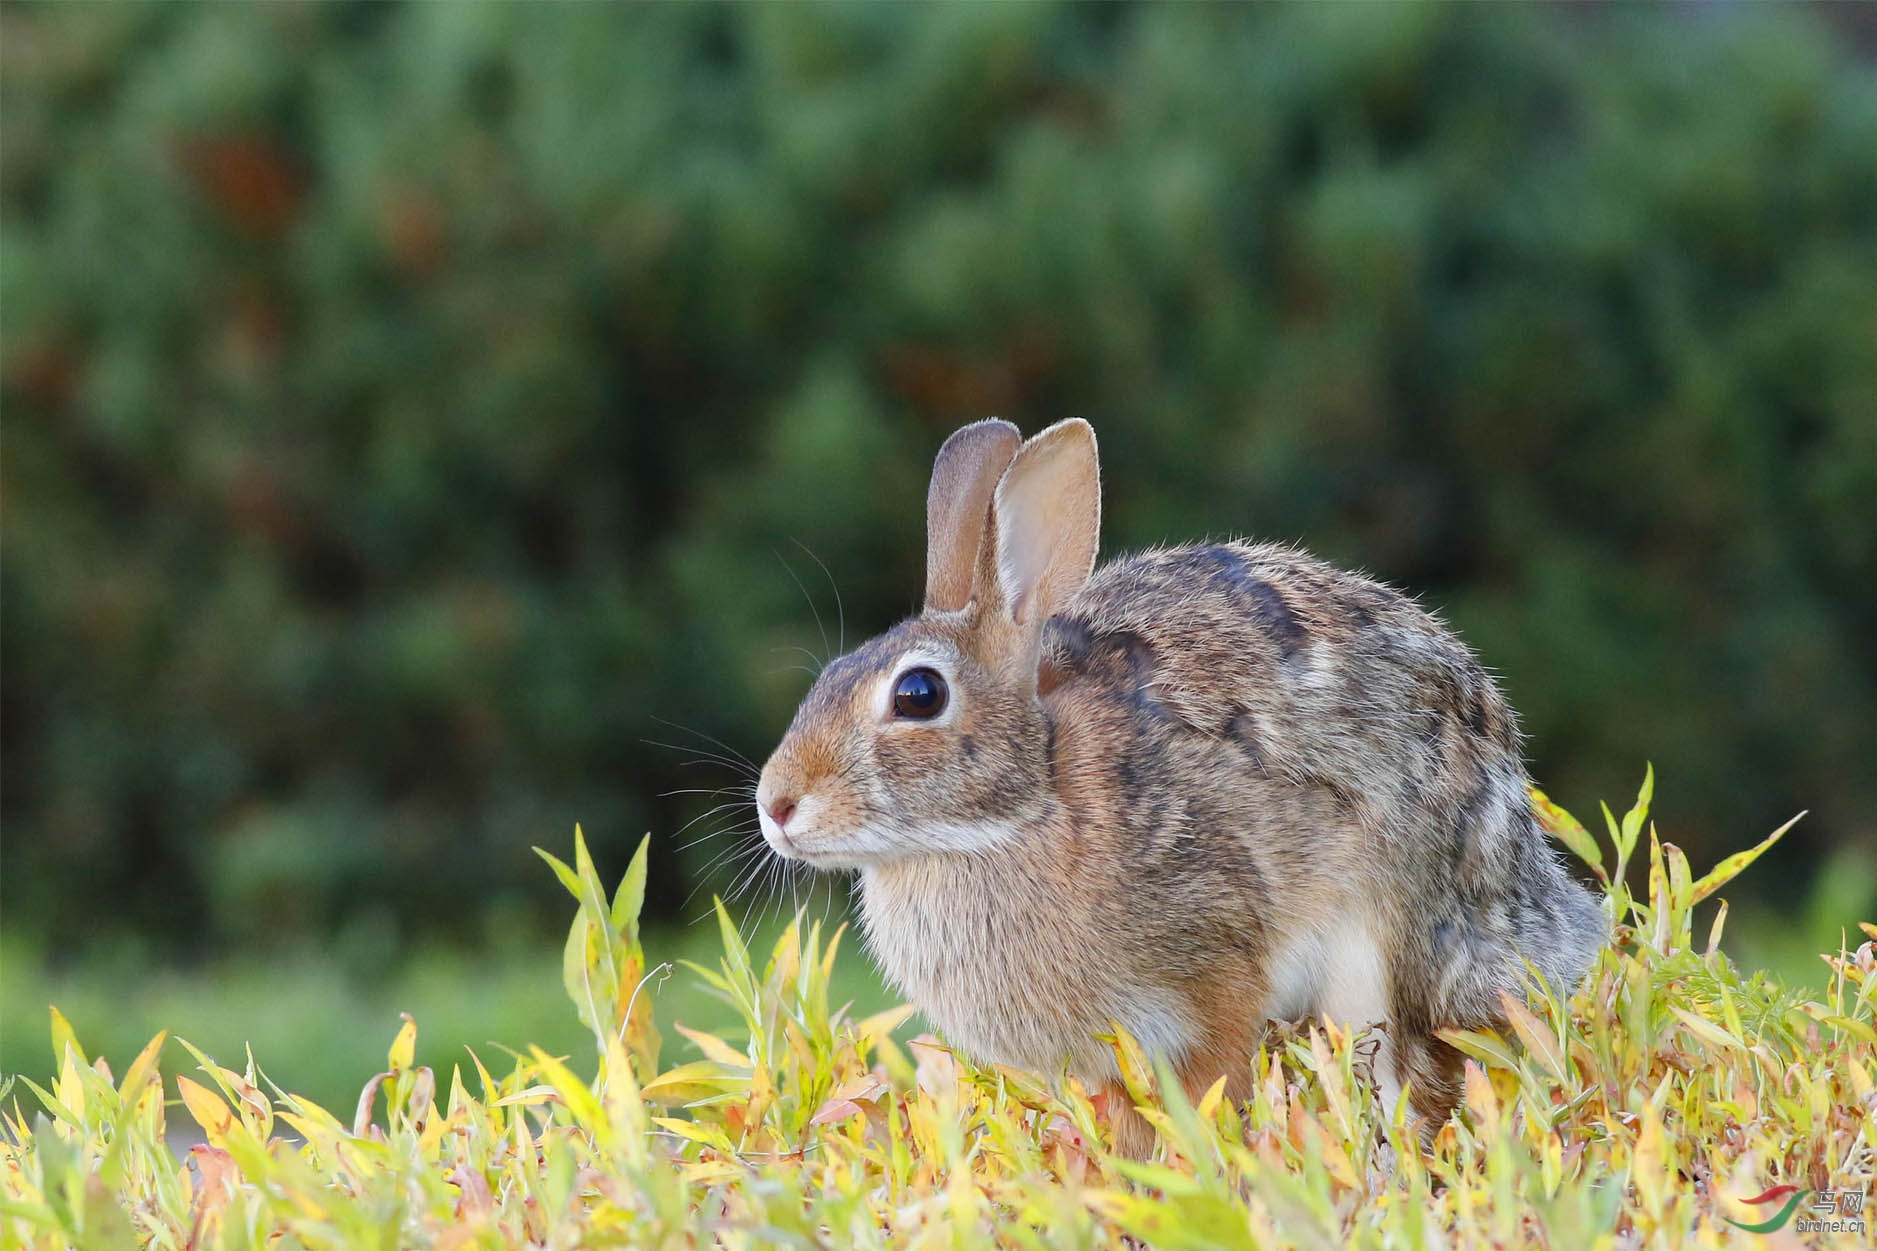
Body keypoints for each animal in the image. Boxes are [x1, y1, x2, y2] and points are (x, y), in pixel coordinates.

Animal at [754, 418, 1606, 1149]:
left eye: (918, 694)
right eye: (829, 675)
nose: (776, 806)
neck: (1027, 803)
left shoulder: (1217, 972)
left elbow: (1212, 1090)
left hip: (1392, 950)